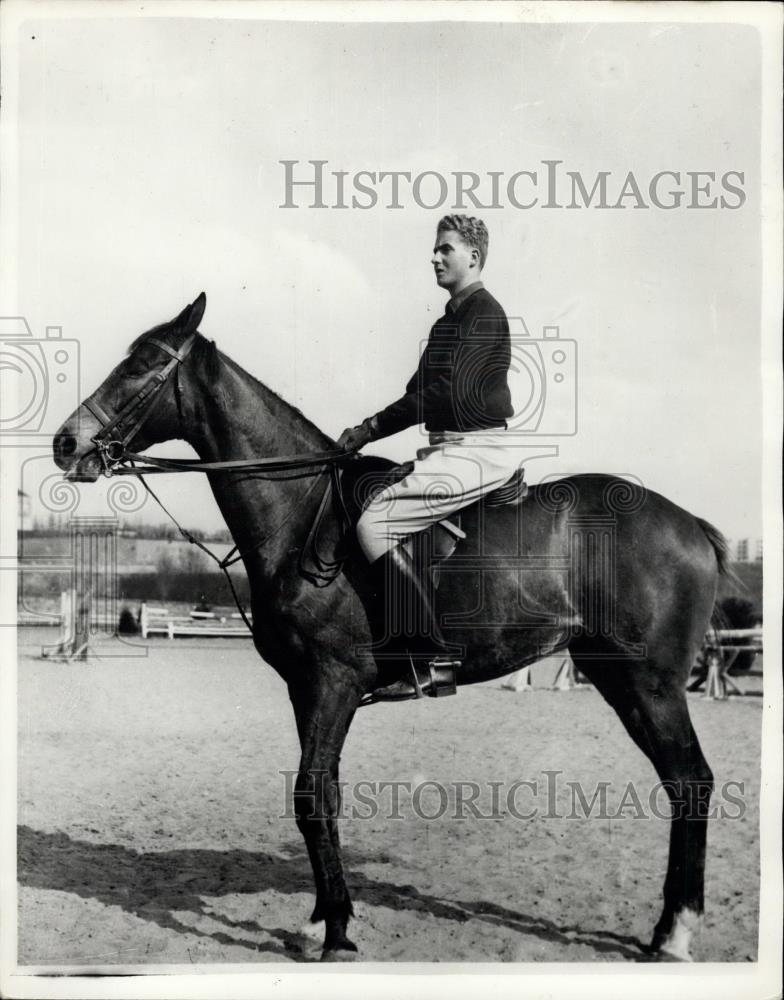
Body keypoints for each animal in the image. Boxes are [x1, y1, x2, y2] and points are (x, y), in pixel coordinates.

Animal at [53, 294, 728, 960]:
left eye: (143, 363)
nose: (66, 443)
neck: (301, 511)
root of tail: (689, 522)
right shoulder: (305, 689)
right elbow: (325, 794)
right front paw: (322, 919)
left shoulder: (334, 681)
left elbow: (309, 794)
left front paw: (338, 933)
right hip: (617, 678)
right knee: (678, 783)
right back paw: (667, 929)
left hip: (650, 682)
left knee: (692, 780)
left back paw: (677, 932)